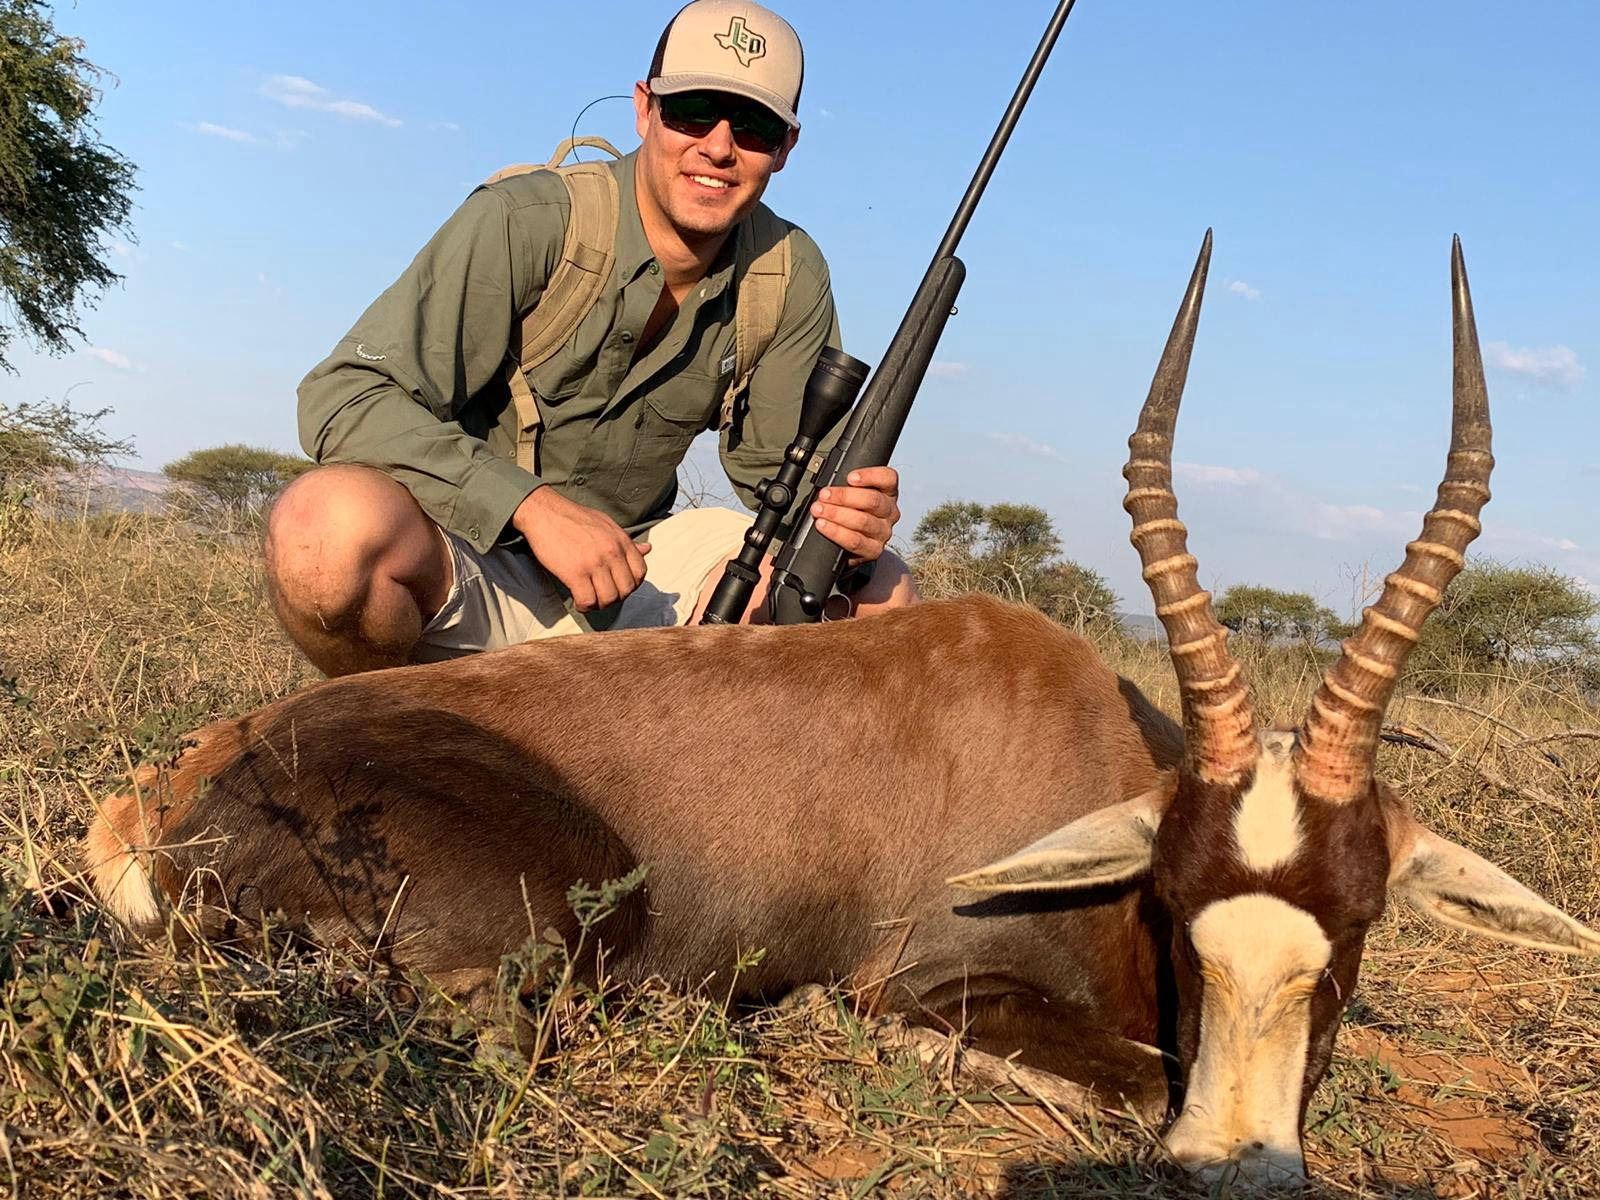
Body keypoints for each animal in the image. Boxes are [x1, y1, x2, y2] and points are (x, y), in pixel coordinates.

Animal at [85, 234, 1600, 1185]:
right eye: (1173, 897)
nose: (1233, 1165)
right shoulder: (935, 978)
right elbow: (1121, 1069)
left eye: (1362, 913)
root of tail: (169, 792)